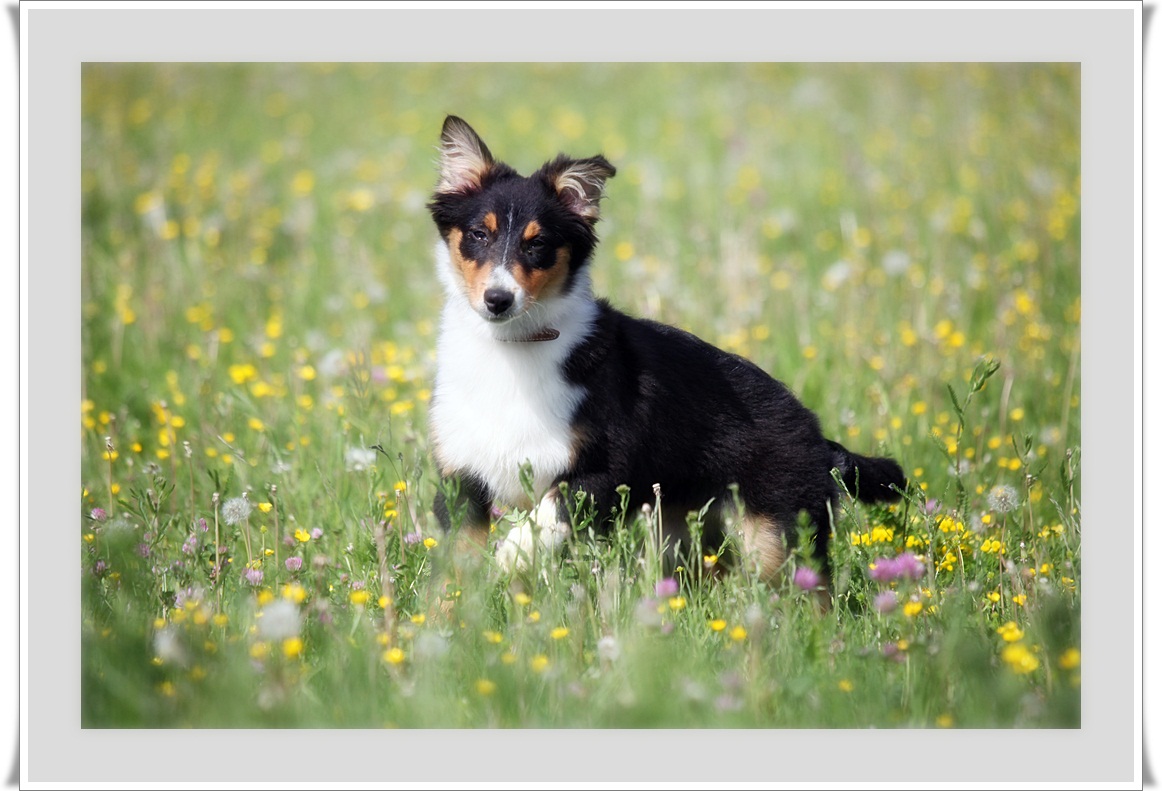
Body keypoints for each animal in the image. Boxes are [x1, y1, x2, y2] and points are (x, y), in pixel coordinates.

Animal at [422, 115, 901, 585]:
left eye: (537, 243)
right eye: (479, 234)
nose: (497, 300)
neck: (514, 347)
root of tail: (818, 435)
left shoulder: (602, 470)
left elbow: (542, 518)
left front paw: (507, 561)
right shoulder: (461, 475)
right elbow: (458, 564)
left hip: (777, 533)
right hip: (688, 536)